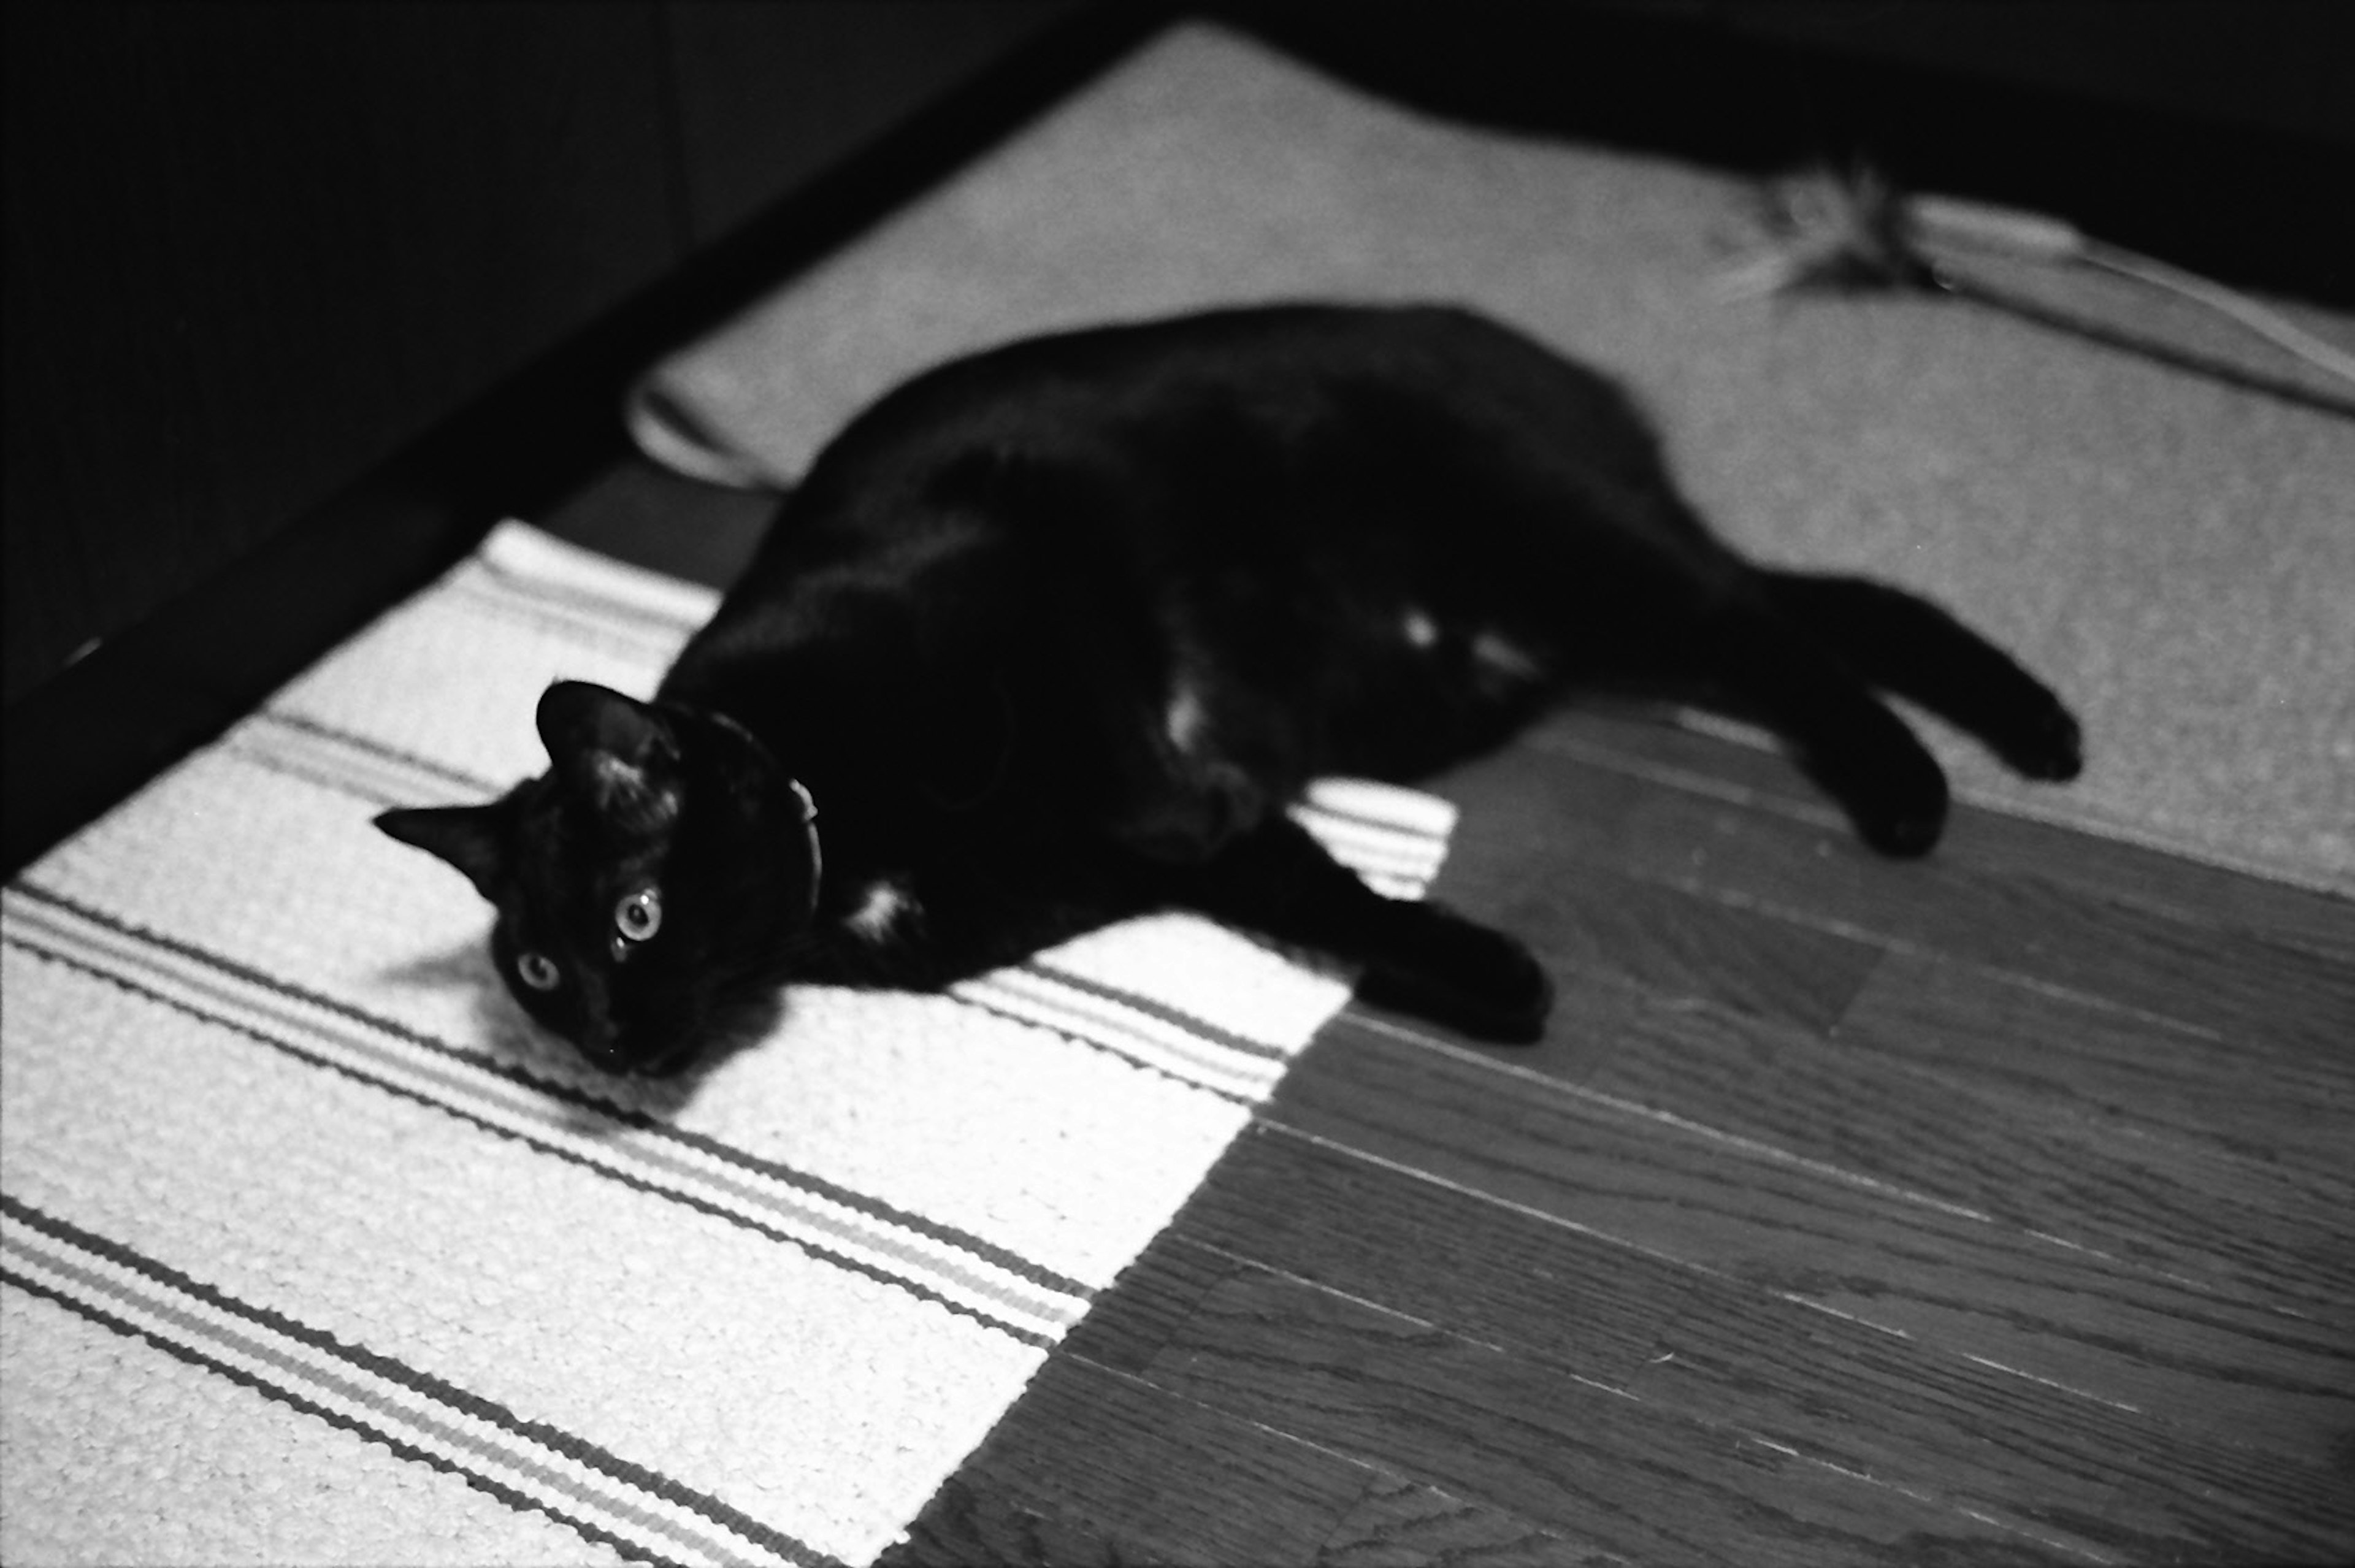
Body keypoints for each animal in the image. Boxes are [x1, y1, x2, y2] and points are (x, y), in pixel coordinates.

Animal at [381, 299, 2081, 1069]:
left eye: (631, 918)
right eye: (537, 972)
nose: (604, 1039)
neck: (826, 817)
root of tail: (1535, 355)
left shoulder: (1023, 554)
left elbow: (1115, 754)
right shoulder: (1174, 853)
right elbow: (1319, 894)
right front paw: (1488, 974)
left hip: (1568, 546)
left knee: (1775, 634)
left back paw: (1931, 786)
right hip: (1581, 606)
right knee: (1820, 607)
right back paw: (2027, 730)